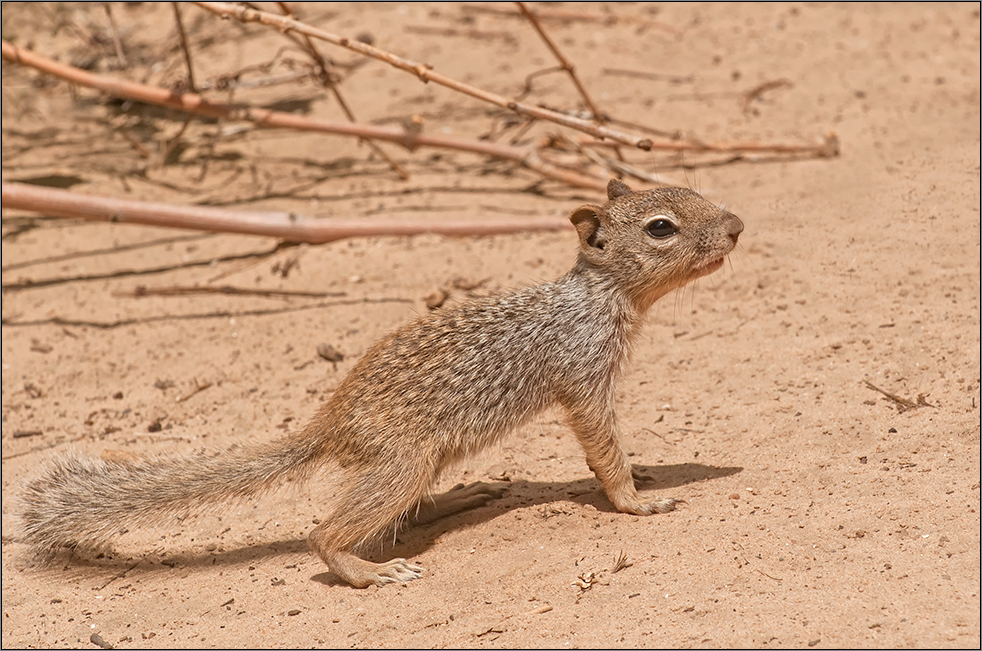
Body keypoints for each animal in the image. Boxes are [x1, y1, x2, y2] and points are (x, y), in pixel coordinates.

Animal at [19, 180, 744, 592]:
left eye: (689, 189)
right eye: (660, 227)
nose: (737, 226)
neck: (599, 295)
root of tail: (330, 423)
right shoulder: (586, 378)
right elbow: (602, 447)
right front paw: (636, 501)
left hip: (428, 458)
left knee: (403, 512)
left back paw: (466, 495)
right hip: (403, 461)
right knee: (324, 535)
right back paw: (369, 570)